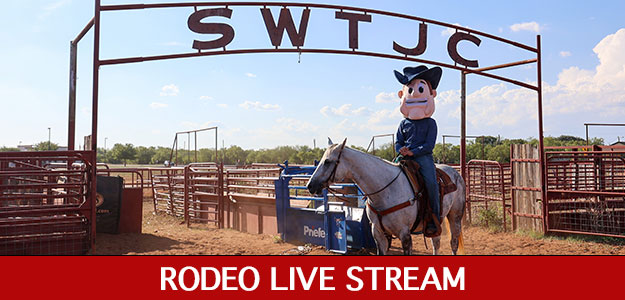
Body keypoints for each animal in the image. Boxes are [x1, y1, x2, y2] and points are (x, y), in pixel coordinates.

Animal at [306, 139, 464, 255]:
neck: (385, 191)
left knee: (453, 243)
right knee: (436, 243)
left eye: (327, 161)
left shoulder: (405, 235)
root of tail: (455, 172)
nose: (310, 185)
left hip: (455, 216)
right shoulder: (378, 233)